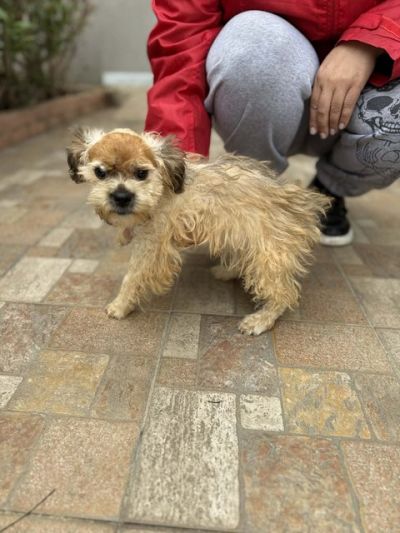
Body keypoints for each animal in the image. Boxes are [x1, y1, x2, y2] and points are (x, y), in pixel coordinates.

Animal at [67, 127, 329, 335]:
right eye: (100, 172)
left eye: (141, 173)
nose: (121, 197)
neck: (163, 190)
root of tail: (303, 202)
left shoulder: (152, 245)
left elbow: (132, 277)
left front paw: (121, 305)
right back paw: (227, 271)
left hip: (268, 254)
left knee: (284, 293)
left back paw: (261, 319)